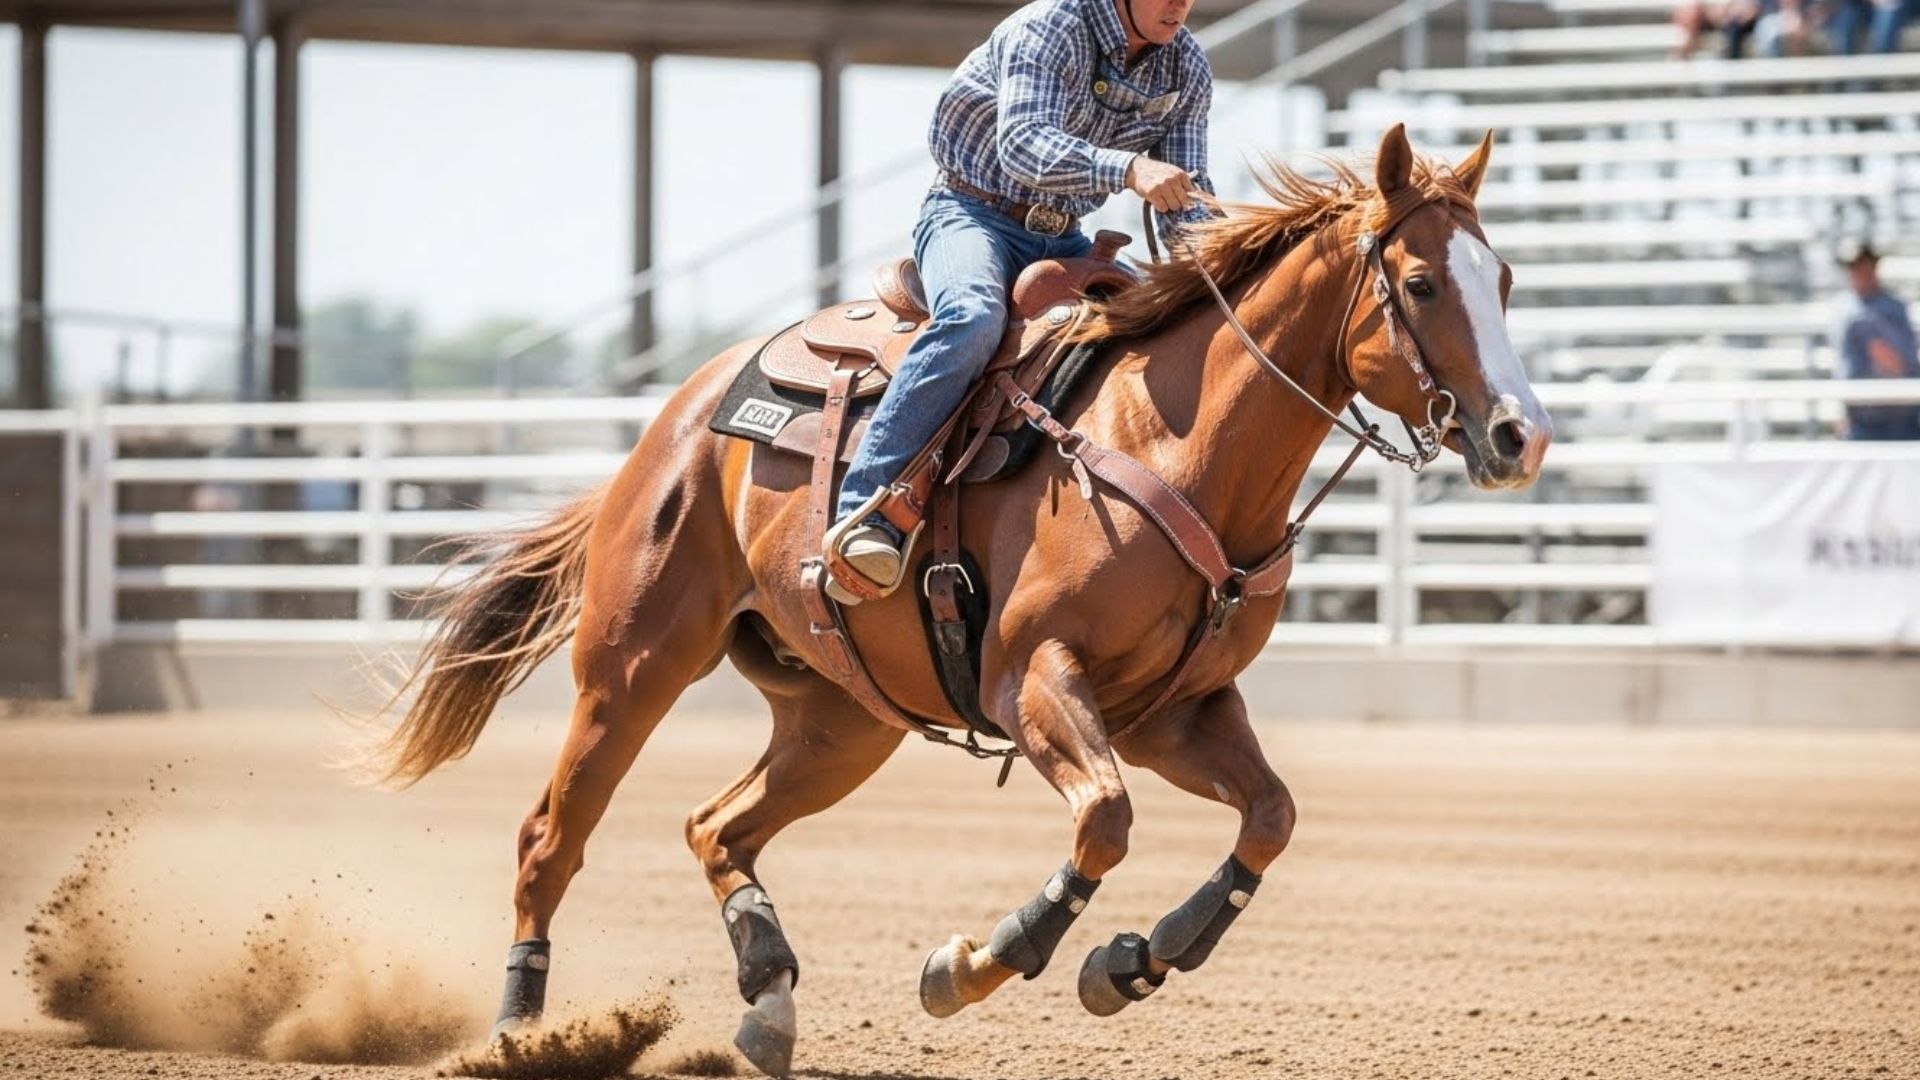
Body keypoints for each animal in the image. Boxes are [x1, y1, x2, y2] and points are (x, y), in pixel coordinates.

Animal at [368, 123, 1550, 1077]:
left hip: (842, 722)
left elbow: (1271, 814)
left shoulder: (1173, 711)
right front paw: (987, 959)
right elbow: (1107, 818)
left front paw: (1136, 960)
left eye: (1504, 280)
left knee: (717, 826)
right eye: (1424, 283)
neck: (1171, 439)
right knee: (549, 837)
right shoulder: (1032, 678)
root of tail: (683, 411)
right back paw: (522, 1029)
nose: (1519, 436)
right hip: (632, 664)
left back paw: (769, 1003)